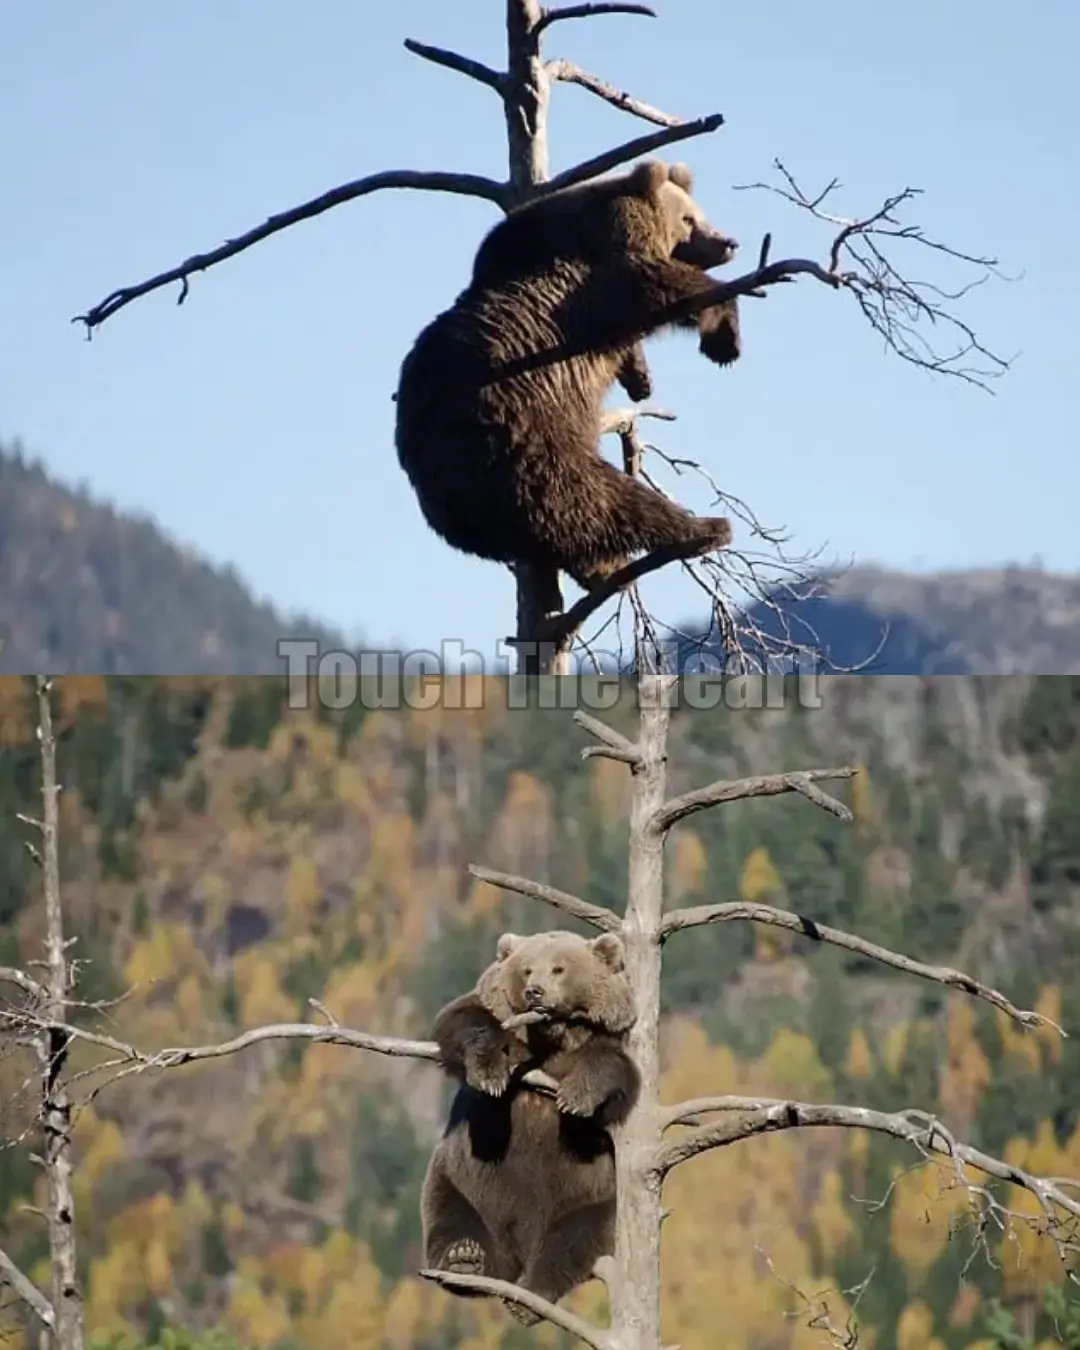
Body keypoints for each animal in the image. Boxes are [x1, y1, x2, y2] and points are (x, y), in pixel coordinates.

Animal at [393, 158, 743, 593]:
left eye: (700, 214)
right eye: (689, 218)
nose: (728, 241)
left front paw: (641, 379)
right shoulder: (595, 283)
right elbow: (658, 285)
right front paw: (724, 338)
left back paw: (605, 570)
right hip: (533, 441)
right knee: (608, 499)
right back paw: (703, 528)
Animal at [420, 929, 640, 1325]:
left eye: (559, 968)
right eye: (526, 969)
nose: (534, 992)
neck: (551, 1038)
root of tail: (514, 1258)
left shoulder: (610, 1045)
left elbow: (612, 1068)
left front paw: (576, 1097)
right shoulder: (488, 1018)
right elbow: (462, 1020)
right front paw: (490, 1073)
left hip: (595, 1199)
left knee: (572, 1242)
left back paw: (528, 1296)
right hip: (462, 1182)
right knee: (450, 1215)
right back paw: (463, 1259)